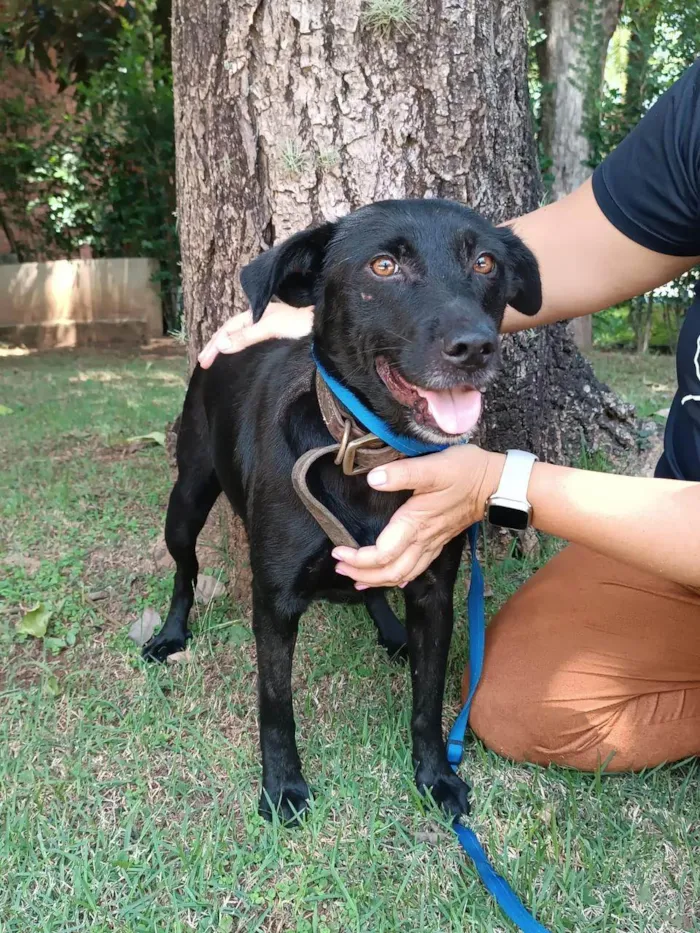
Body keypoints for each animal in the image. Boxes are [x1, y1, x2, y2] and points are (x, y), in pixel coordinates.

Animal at [145, 198, 540, 824]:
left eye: (484, 262)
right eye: (383, 266)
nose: (476, 347)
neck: (365, 451)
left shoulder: (435, 591)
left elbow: (428, 701)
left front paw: (436, 778)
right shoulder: (274, 601)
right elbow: (275, 704)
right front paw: (282, 787)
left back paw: (391, 632)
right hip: (186, 500)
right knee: (185, 571)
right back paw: (171, 634)